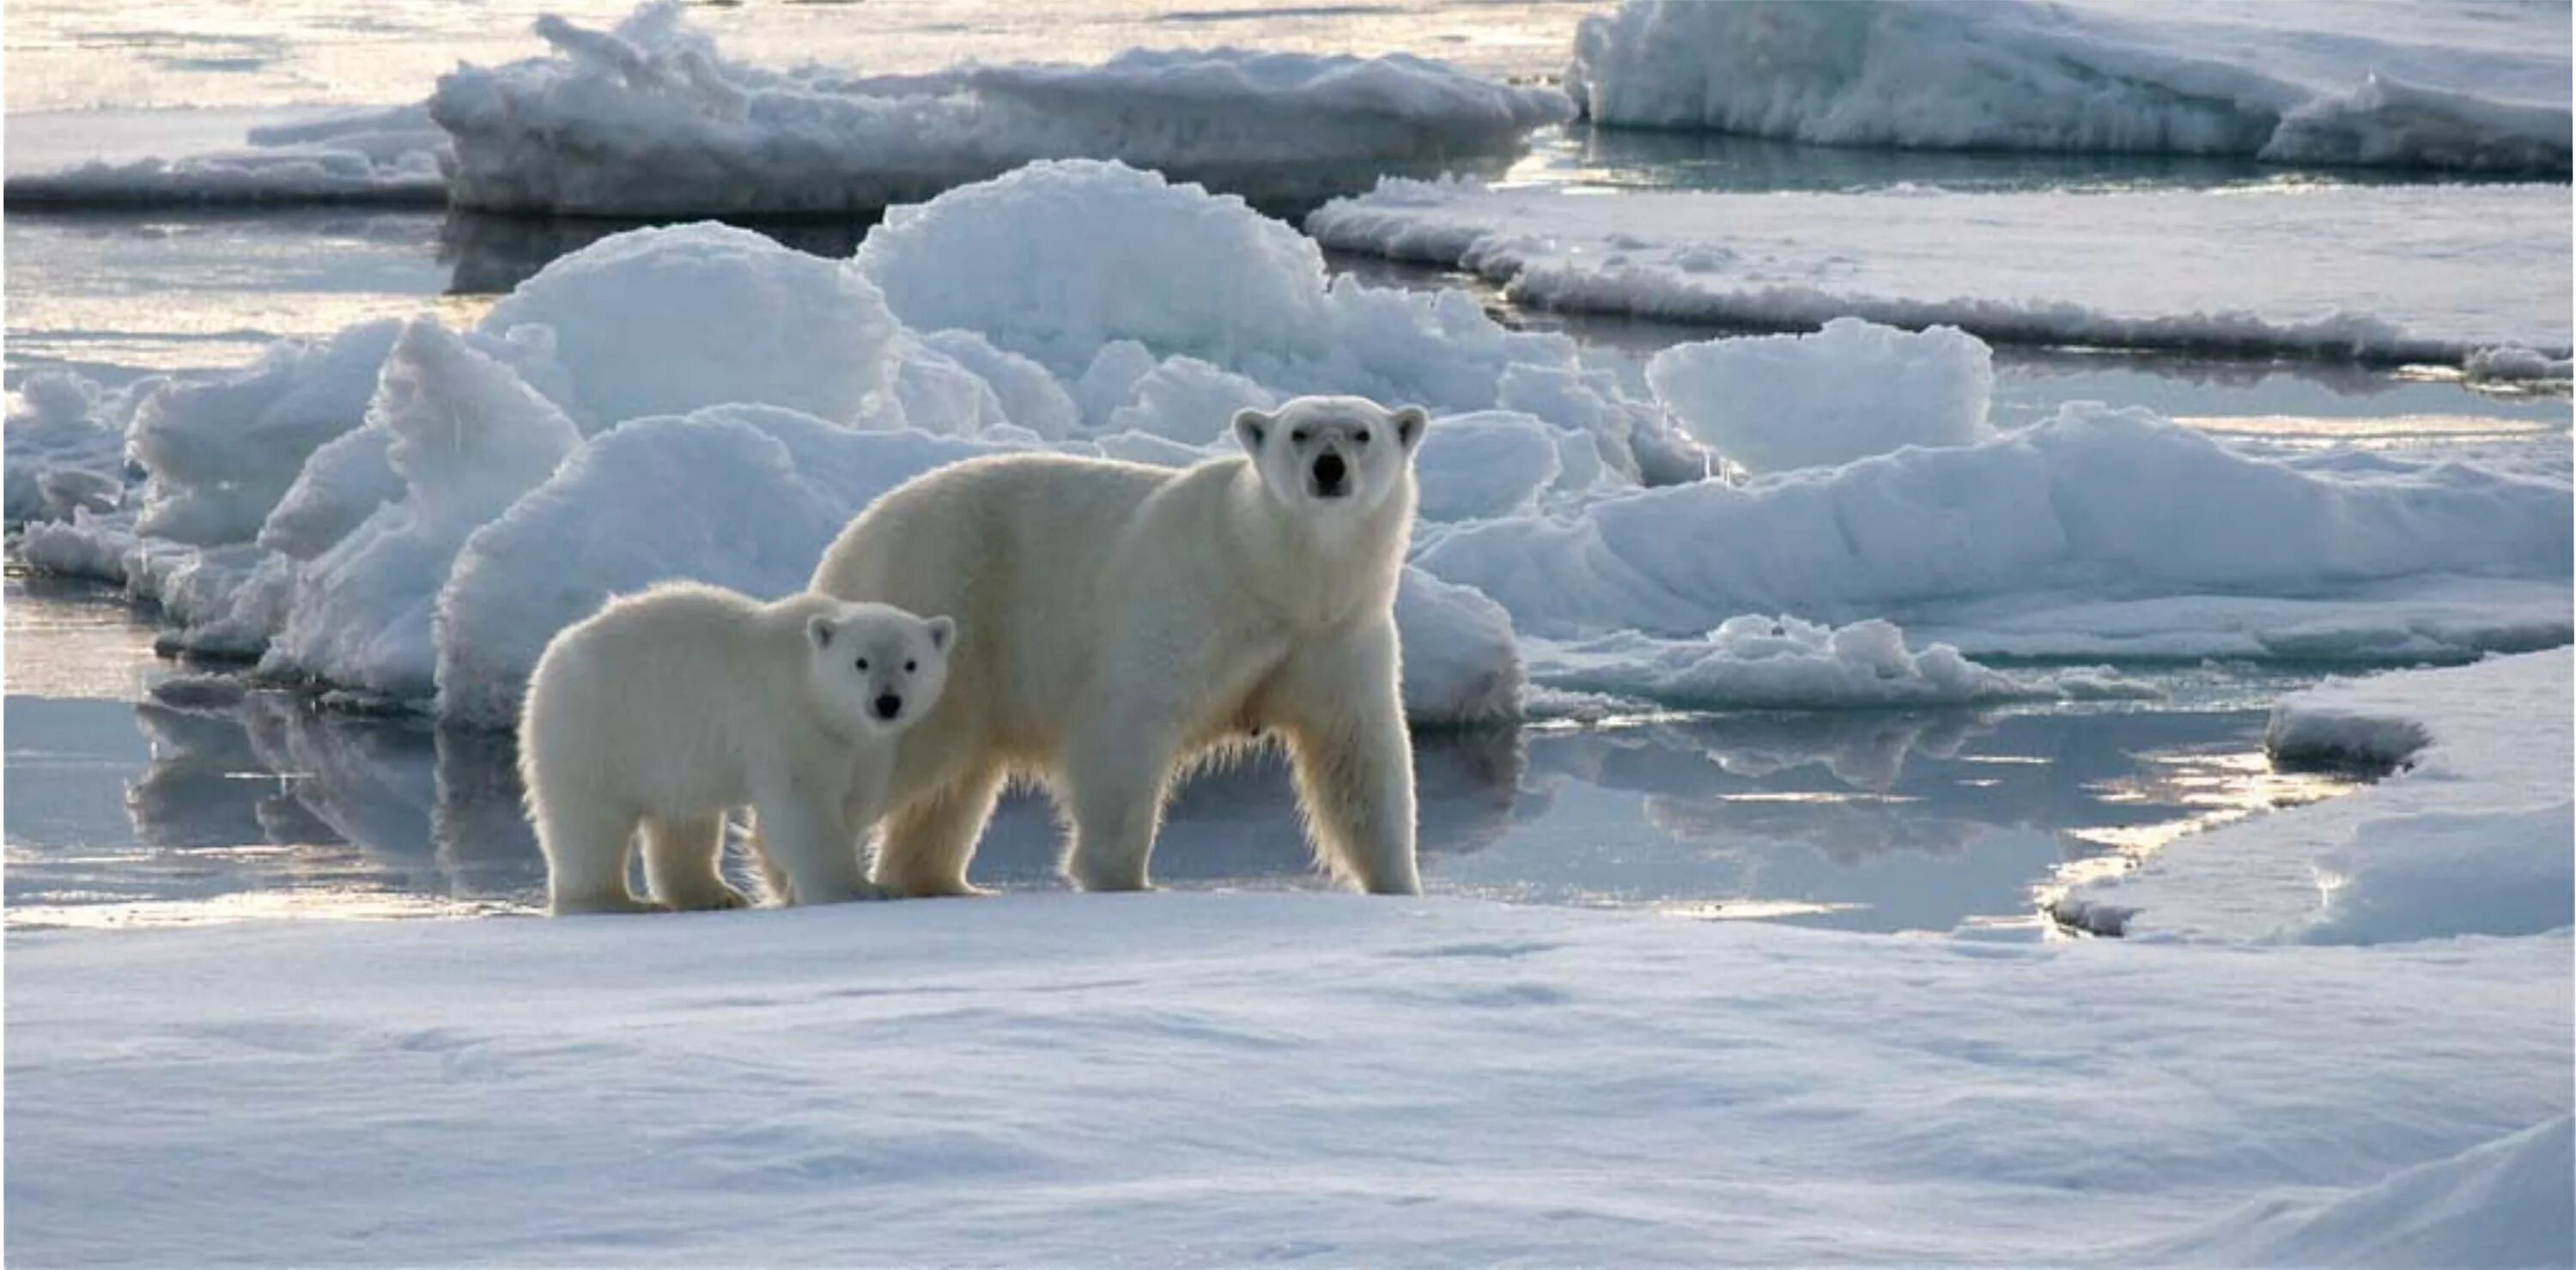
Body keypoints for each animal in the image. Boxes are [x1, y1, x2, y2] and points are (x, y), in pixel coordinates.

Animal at [523, 585, 958, 912]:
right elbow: (803, 810)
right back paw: (612, 901)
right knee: (588, 821)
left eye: (911, 663)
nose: (887, 702)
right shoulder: (787, 723)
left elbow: (853, 804)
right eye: (861, 662)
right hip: (595, 730)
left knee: (685, 821)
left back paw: (714, 895)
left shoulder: (863, 746)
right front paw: (855, 889)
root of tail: (554, 654)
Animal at [814, 392, 1432, 896]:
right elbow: (1129, 723)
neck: (1269, 570)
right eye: (1299, 432)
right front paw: (1121, 877)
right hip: (940, 596)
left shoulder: (1338, 630)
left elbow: (1359, 750)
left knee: (953, 787)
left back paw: (941, 882)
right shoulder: (1186, 599)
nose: (1329, 468)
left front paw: (1400, 884)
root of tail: (846, 542)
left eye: (1361, 433)